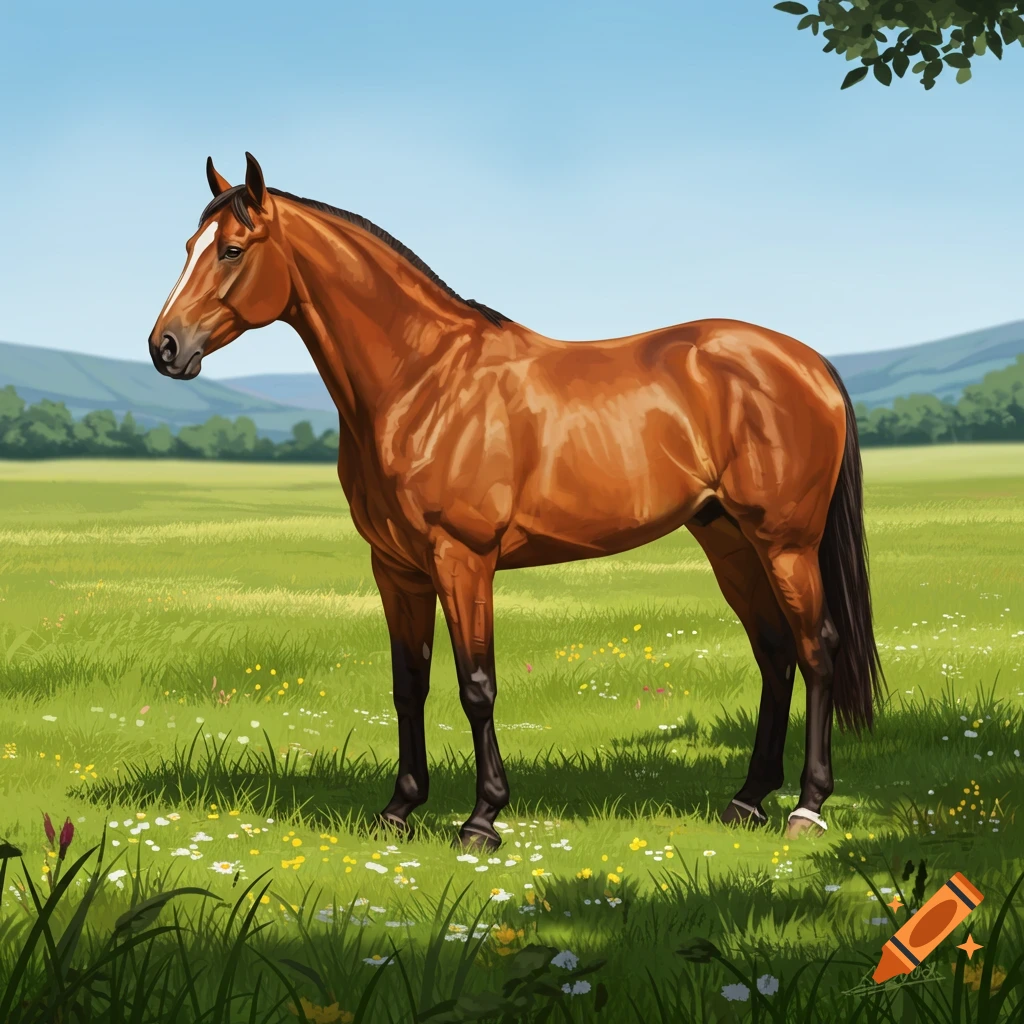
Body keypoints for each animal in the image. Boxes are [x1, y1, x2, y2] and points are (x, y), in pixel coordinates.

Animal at [148, 152, 885, 850]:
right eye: (188, 245)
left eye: (232, 249)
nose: (165, 347)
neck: (422, 381)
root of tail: (809, 363)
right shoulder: (397, 568)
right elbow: (408, 684)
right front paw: (398, 811)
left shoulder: (463, 559)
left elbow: (477, 685)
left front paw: (482, 820)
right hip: (728, 540)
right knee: (774, 652)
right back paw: (747, 800)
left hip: (785, 544)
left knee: (816, 649)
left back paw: (807, 808)